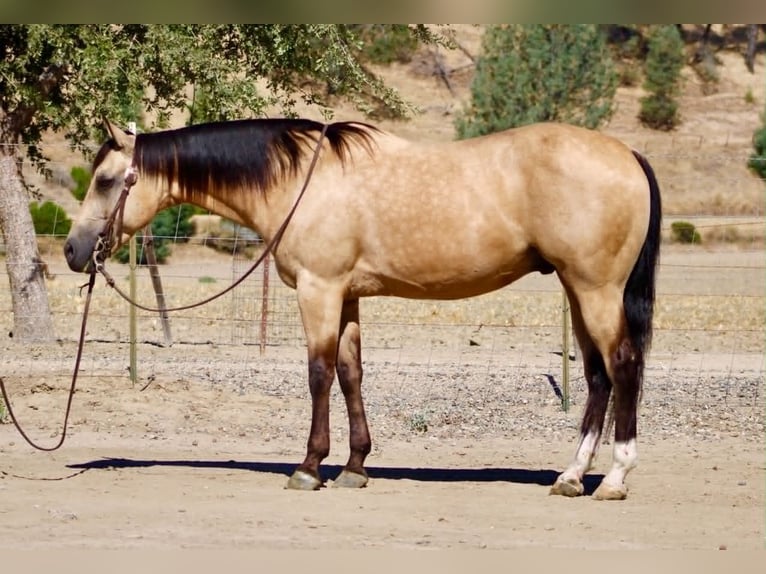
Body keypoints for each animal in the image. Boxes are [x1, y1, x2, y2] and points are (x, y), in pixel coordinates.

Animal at [64, 118, 661, 500]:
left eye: (106, 181)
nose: (73, 251)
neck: (300, 181)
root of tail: (627, 155)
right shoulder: (347, 296)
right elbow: (351, 374)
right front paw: (354, 467)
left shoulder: (319, 290)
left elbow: (319, 373)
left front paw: (309, 467)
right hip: (578, 290)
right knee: (597, 376)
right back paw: (571, 475)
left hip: (596, 289)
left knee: (623, 365)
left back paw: (614, 478)